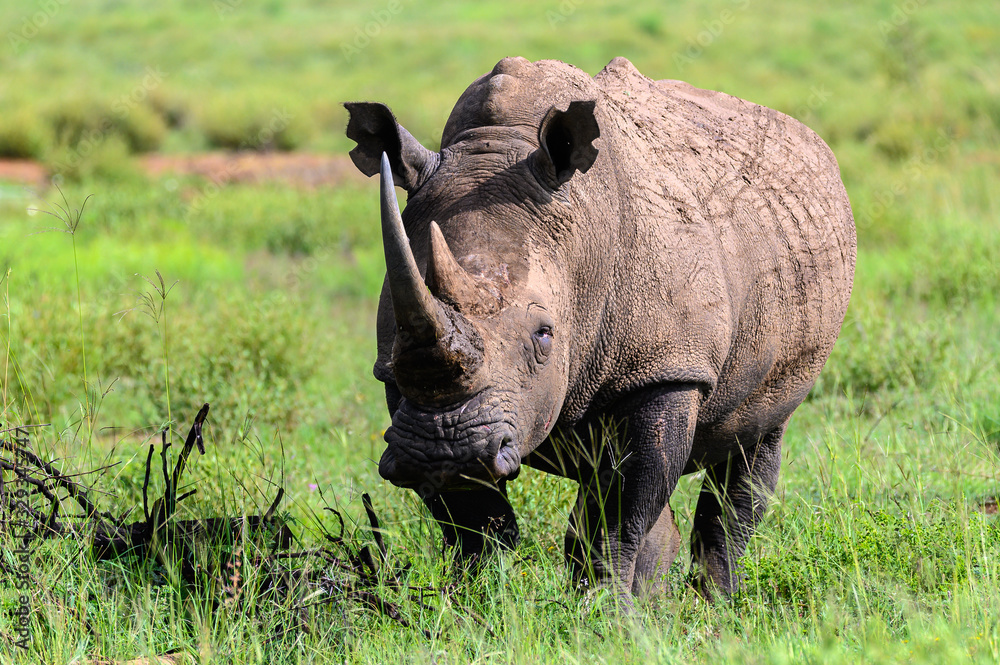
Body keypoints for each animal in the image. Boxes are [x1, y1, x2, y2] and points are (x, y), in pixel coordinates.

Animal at [344, 56, 856, 600]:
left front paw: (607, 611)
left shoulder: (664, 368)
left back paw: (712, 605)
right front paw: (476, 604)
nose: (444, 446)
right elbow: (473, 521)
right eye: (397, 337)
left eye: (544, 335)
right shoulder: (408, 391)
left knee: (752, 449)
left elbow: (621, 513)